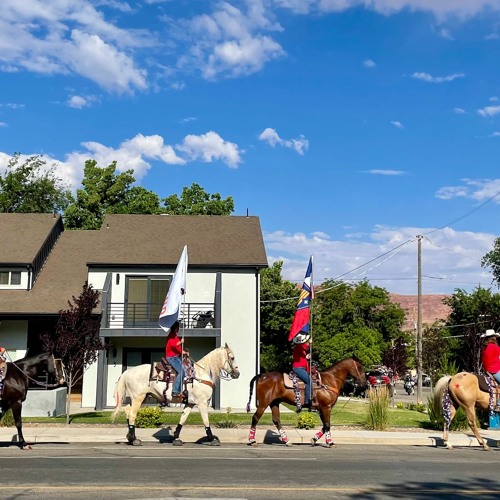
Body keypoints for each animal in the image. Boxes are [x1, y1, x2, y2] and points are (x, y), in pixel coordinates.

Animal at [112, 344, 240, 446]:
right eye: (232, 357)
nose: (237, 373)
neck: (201, 374)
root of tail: (128, 371)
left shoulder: (190, 403)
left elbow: (182, 420)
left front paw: (176, 438)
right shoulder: (202, 403)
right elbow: (206, 421)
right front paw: (212, 439)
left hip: (140, 398)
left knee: (127, 411)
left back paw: (130, 437)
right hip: (138, 398)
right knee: (132, 415)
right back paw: (134, 440)